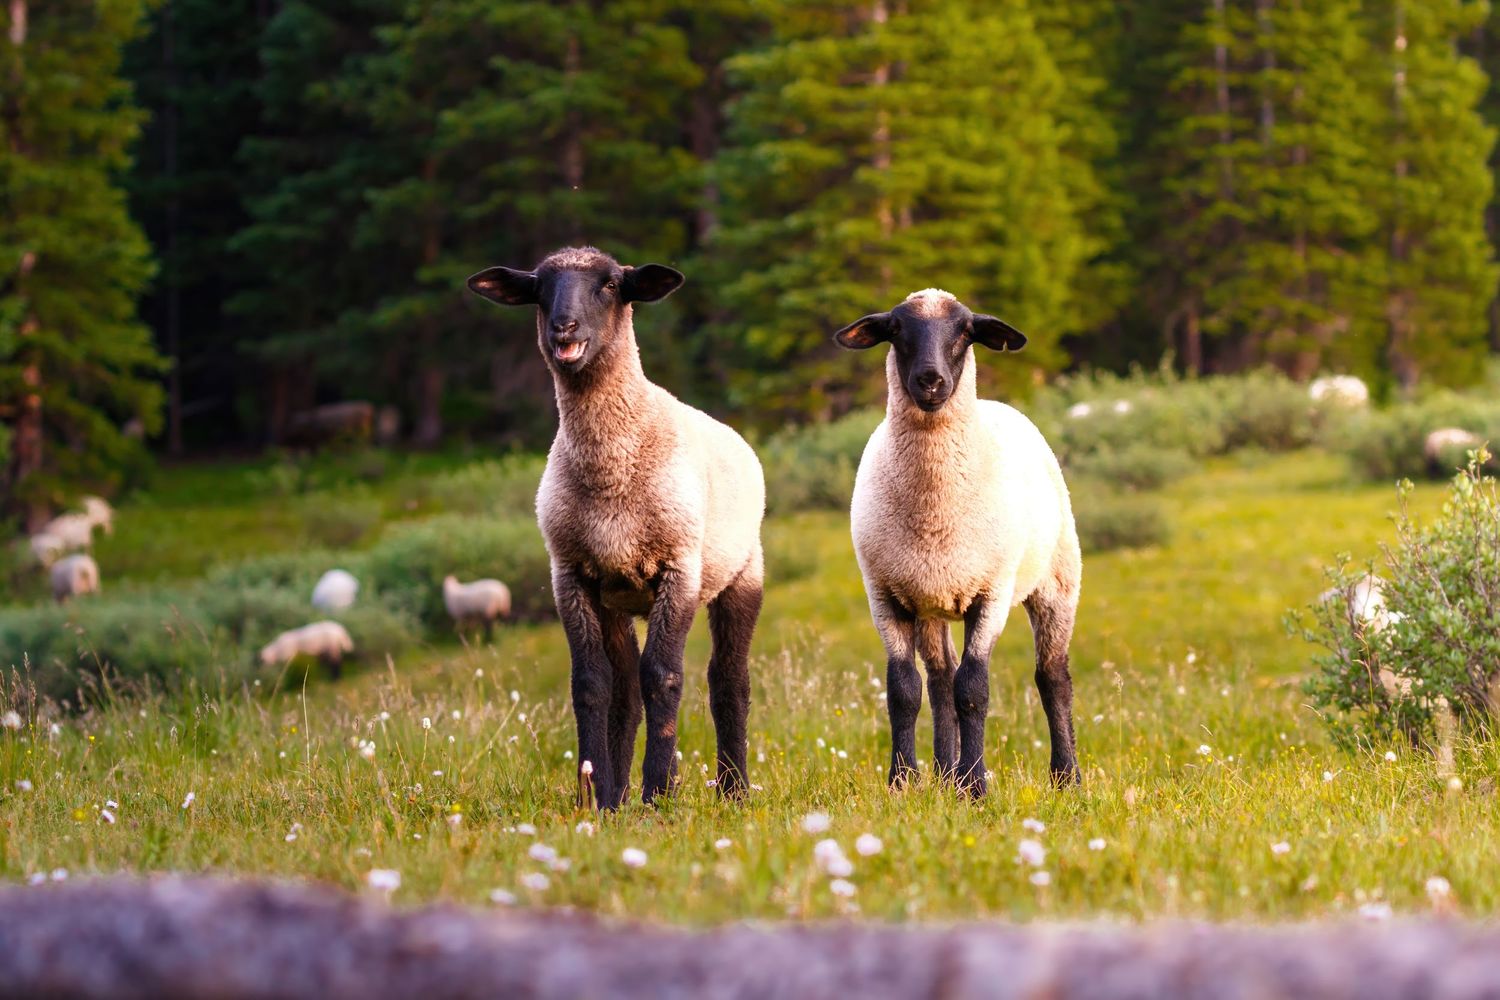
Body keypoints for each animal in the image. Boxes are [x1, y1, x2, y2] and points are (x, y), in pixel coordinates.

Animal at [468, 246, 766, 810]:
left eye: (609, 284)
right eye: (539, 288)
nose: (564, 328)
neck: (610, 473)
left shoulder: (679, 568)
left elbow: (664, 677)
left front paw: (659, 792)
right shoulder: (571, 575)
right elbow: (591, 684)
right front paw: (594, 795)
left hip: (741, 574)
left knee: (728, 680)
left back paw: (732, 789)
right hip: (618, 597)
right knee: (625, 686)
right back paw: (616, 794)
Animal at [834, 288, 1082, 795]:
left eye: (966, 332)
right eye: (896, 329)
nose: (931, 380)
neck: (935, 508)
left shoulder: (991, 593)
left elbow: (974, 689)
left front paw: (976, 786)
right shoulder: (885, 595)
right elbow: (904, 691)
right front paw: (903, 781)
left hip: (1057, 581)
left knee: (1052, 677)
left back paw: (1065, 776)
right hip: (931, 601)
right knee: (940, 680)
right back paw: (945, 775)